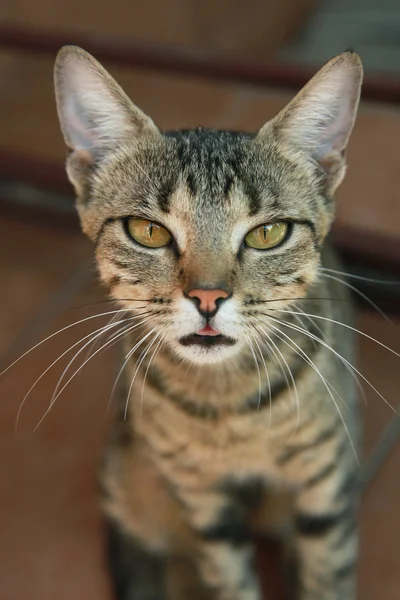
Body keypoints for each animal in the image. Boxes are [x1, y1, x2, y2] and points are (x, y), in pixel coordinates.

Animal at [54, 47, 364, 600]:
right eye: (148, 231)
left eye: (268, 233)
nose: (207, 297)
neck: (227, 402)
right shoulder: (202, 502)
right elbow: (228, 576)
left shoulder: (327, 480)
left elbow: (328, 574)